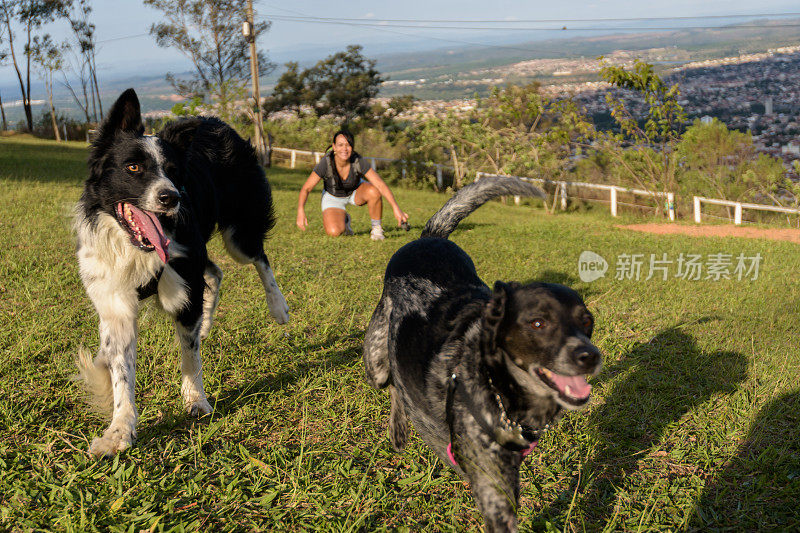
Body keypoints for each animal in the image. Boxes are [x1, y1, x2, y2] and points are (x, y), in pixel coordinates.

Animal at [73, 89, 290, 456]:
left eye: (174, 172)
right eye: (133, 167)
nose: (170, 197)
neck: (136, 249)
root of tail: (215, 121)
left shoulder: (184, 288)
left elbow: (190, 356)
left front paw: (196, 401)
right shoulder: (117, 302)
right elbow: (120, 372)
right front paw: (119, 429)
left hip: (238, 234)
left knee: (259, 257)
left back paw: (278, 307)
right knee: (215, 272)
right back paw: (207, 325)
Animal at [362, 177, 600, 528]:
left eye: (587, 321)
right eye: (538, 323)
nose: (590, 356)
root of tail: (430, 236)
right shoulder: (491, 485)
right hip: (377, 359)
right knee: (393, 382)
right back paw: (400, 428)